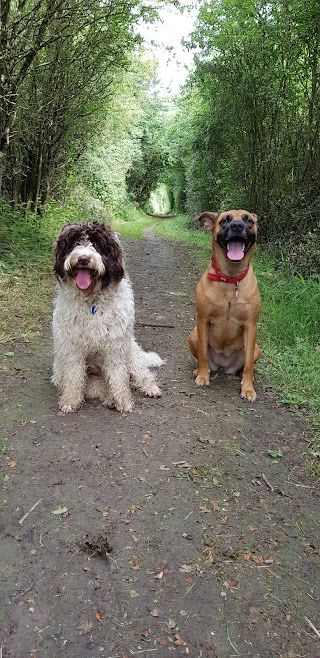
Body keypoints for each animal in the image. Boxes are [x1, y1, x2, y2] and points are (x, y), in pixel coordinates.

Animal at [52, 223, 164, 412]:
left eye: (97, 245)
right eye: (74, 243)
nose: (83, 258)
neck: (92, 301)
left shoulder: (115, 345)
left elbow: (118, 375)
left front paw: (123, 400)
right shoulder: (72, 346)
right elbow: (73, 375)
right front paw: (70, 400)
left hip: (131, 353)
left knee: (140, 374)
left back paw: (149, 387)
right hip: (86, 379)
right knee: (101, 386)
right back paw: (109, 398)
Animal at [189, 209, 262, 400]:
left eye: (248, 219)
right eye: (225, 220)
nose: (237, 226)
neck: (231, 278)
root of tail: (223, 365)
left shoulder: (250, 325)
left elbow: (249, 366)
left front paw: (248, 389)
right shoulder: (203, 320)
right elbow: (203, 354)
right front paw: (202, 376)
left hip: (256, 349)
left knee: (246, 365)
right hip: (193, 335)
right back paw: (199, 370)